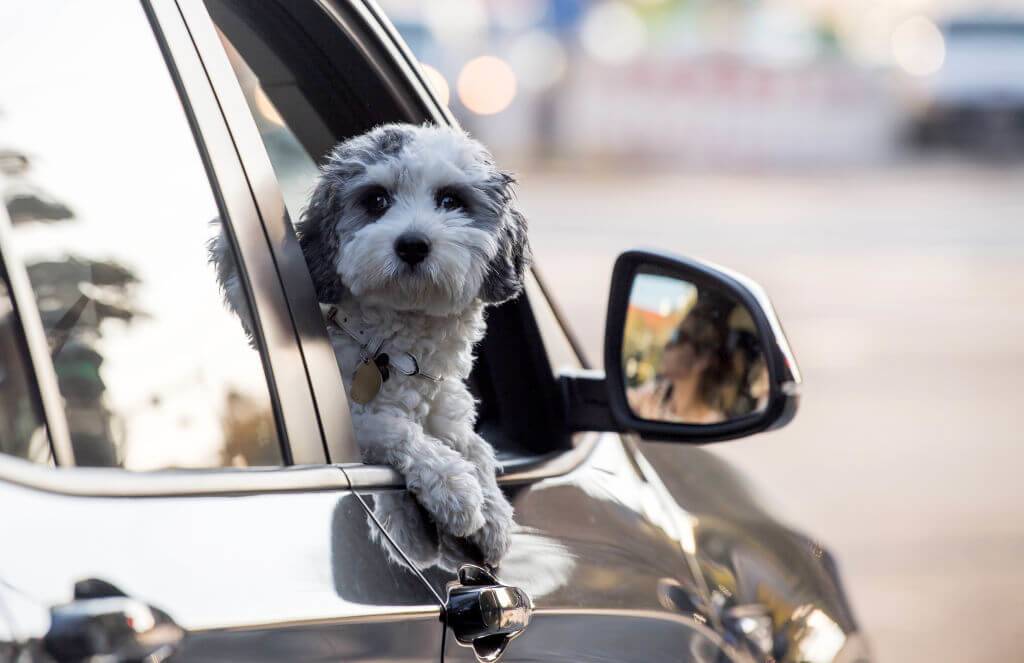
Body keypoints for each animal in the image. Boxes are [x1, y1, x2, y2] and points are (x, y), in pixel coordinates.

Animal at [299, 122, 528, 565]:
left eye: (451, 200)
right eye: (376, 200)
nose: (412, 244)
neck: (394, 347)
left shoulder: (446, 404)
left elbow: (476, 445)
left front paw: (493, 509)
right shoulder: (358, 418)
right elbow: (396, 429)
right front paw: (454, 487)